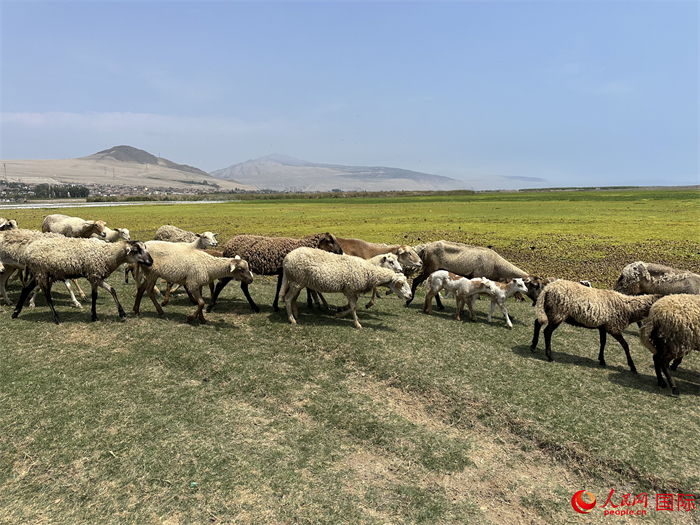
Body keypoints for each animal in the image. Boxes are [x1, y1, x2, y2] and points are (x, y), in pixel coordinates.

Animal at [10, 237, 154, 324]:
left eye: (145, 248)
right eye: (137, 250)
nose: (151, 261)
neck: (108, 254)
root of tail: (28, 251)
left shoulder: (97, 276)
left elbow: (112, 290)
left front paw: (122, 313)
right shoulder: (94, 275)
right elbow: (95, 296)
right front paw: (94, 316)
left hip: (39, 273)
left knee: (25, 289)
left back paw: (15, 313)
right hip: (41, 272)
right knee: (47, 296)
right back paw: (56, 318)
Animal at [206, 232, 344, 314]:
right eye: (330, 241)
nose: (341, 252)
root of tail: (227, 245)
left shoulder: (283, 272)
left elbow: (281, 288)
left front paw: (276, 305)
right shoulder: (284, 271)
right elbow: (281, 288)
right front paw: (277, 306)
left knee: (243, 287)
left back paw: (255, 307)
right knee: (220, 285)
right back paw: (210, 306)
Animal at [278, 247, 412, 328]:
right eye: (401, 284)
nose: (410, 295)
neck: (368, 270)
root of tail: (287, 258)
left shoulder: (352, 291)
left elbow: (353, 305)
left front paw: (341, 314)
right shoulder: (350, 289)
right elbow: (353, 306)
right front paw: (357, 323)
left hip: (298, 282)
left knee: (292, 298)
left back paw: (296, 313)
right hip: (297, 281)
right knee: (288, 298)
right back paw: (292, 319)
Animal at [532, 278, 660, 372]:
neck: (628, 308)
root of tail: (547, 289)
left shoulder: (603, 327)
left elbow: (603, 342)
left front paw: (602, 360)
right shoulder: (613, 328)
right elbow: (625, 345)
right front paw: (632, 367)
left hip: (550, 310)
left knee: (537, 323)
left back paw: (533, 345)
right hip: (558, 312)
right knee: (547, 332)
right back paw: (549, 356)